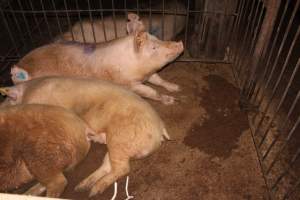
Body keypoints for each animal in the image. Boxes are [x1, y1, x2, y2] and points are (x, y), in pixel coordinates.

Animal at [0, 77, 171, 197]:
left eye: (7, 100)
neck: (29, 91)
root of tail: (160, 128)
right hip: (117, 145)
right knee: (108, 165)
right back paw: (83, 187)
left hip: (120, 138)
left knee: (122, 168)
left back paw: (93, 190)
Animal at [11, 25, 183, 104]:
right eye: (153, 47)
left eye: (158, 38)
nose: (180, 43)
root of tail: (17, 68)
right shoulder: (129, 84)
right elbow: (151, 92)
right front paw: (170, 100)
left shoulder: (149, 73)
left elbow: (159, 80)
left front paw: (176, 88)